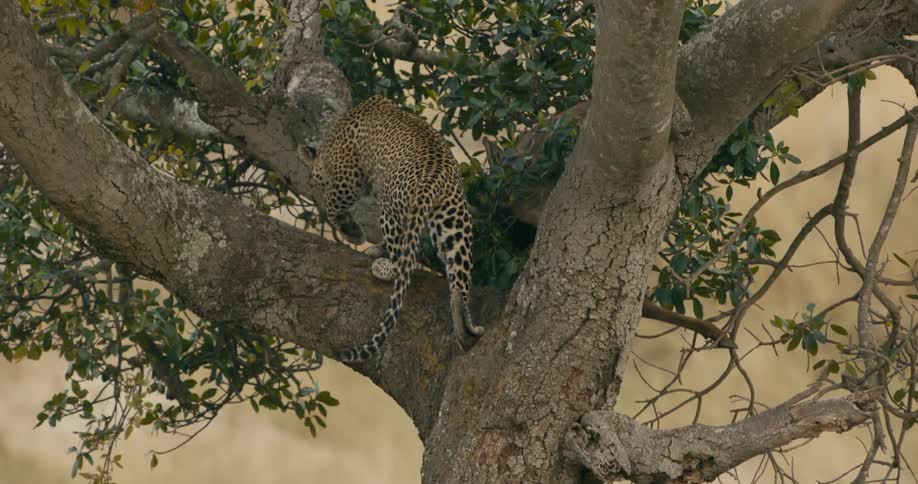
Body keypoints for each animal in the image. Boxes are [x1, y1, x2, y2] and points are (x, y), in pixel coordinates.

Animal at [298, 95, 485, 362]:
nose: (312, 187)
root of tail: (434, 178)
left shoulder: (347, 176)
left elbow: (334, 207)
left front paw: (352, 233)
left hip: (391, 212)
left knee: (407, 263)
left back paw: (382, 266)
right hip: (454, 221)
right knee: (459, 277)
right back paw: (464, 325)